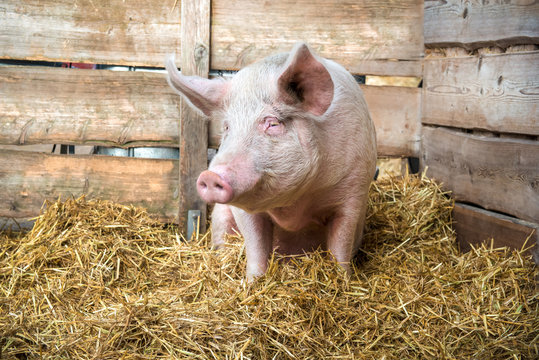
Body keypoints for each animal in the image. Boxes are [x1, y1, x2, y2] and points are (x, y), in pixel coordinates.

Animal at [167, 43, 378, 282]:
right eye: (228, 127)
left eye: (273, 123)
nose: (210, 176)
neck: (294, 204)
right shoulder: (242, 210)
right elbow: (255, 247)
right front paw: (252, 282)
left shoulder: (354, 190)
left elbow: (341, 245)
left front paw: (342, 280)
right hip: (220, 216)